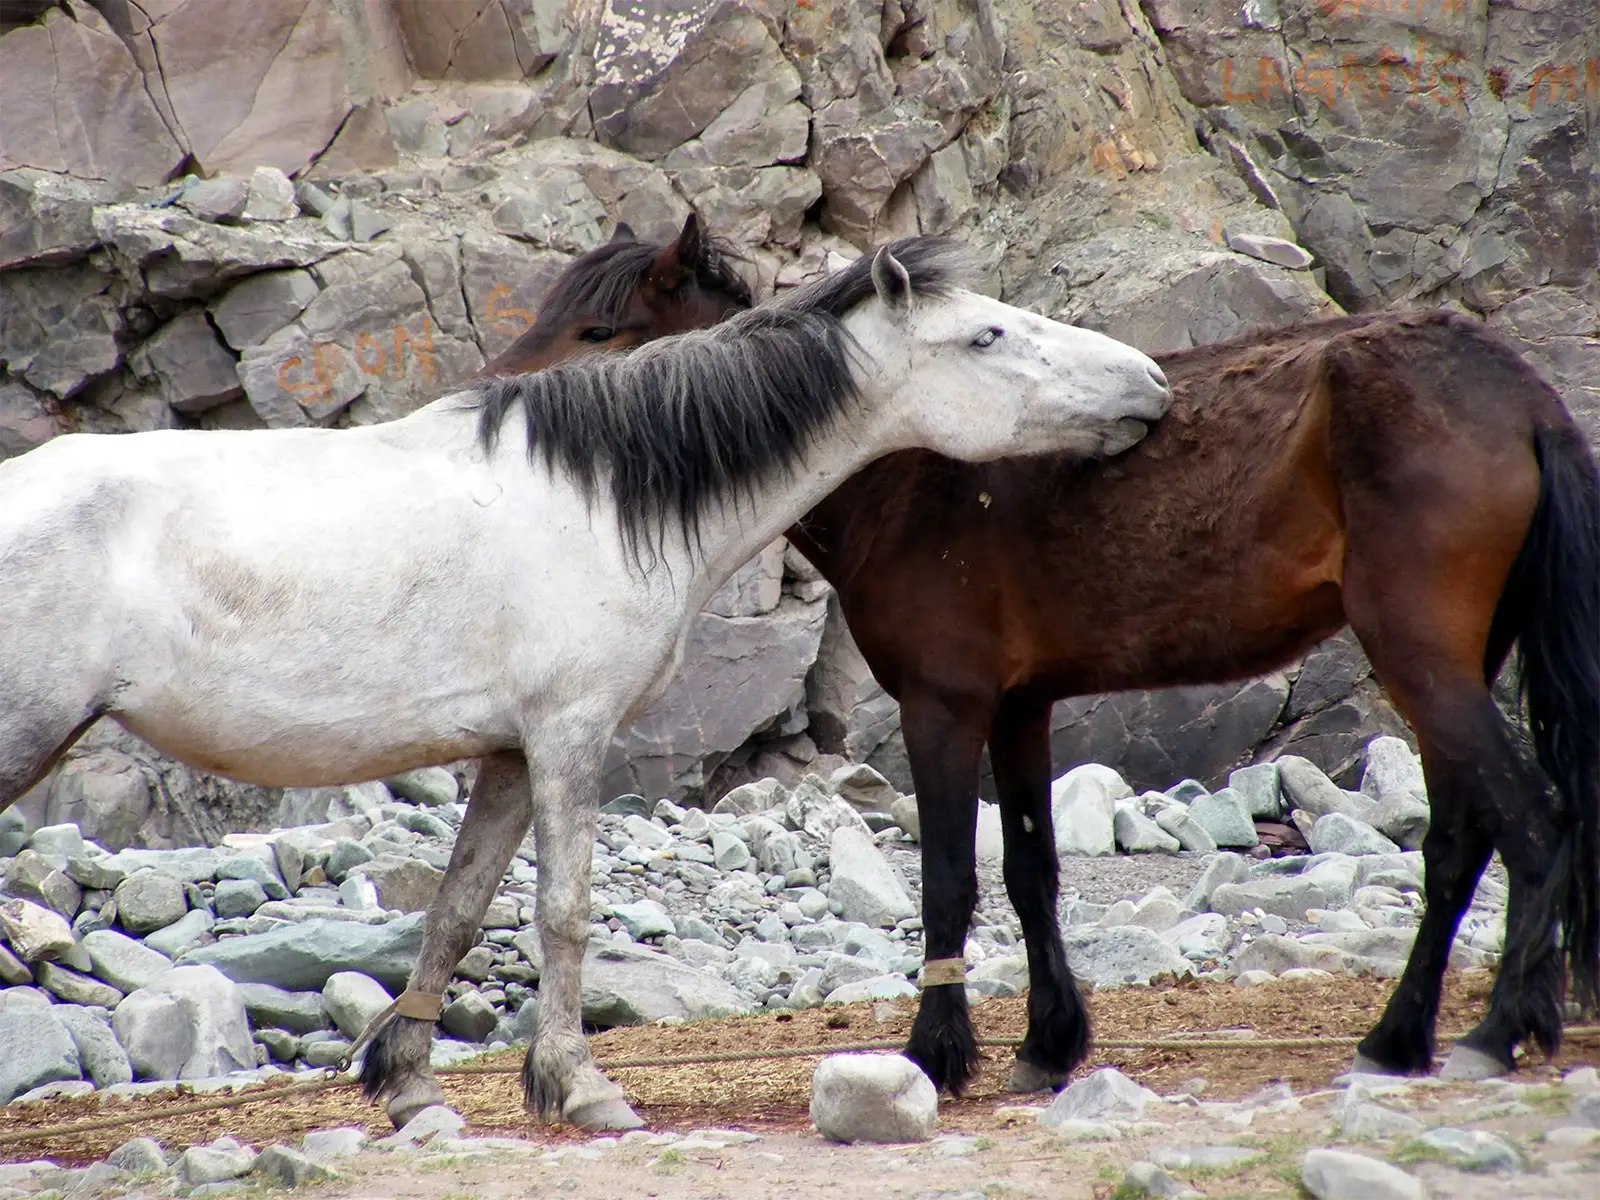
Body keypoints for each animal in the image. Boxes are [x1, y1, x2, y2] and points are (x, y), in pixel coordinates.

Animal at [0, 236, 1173, 1132]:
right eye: (988, 338)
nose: (1152, 386)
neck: (603, 497)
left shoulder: (509, 754)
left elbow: (460, 911)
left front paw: (409, 1082)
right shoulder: (569, 736)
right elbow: (562, 911)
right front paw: (579, 1085)